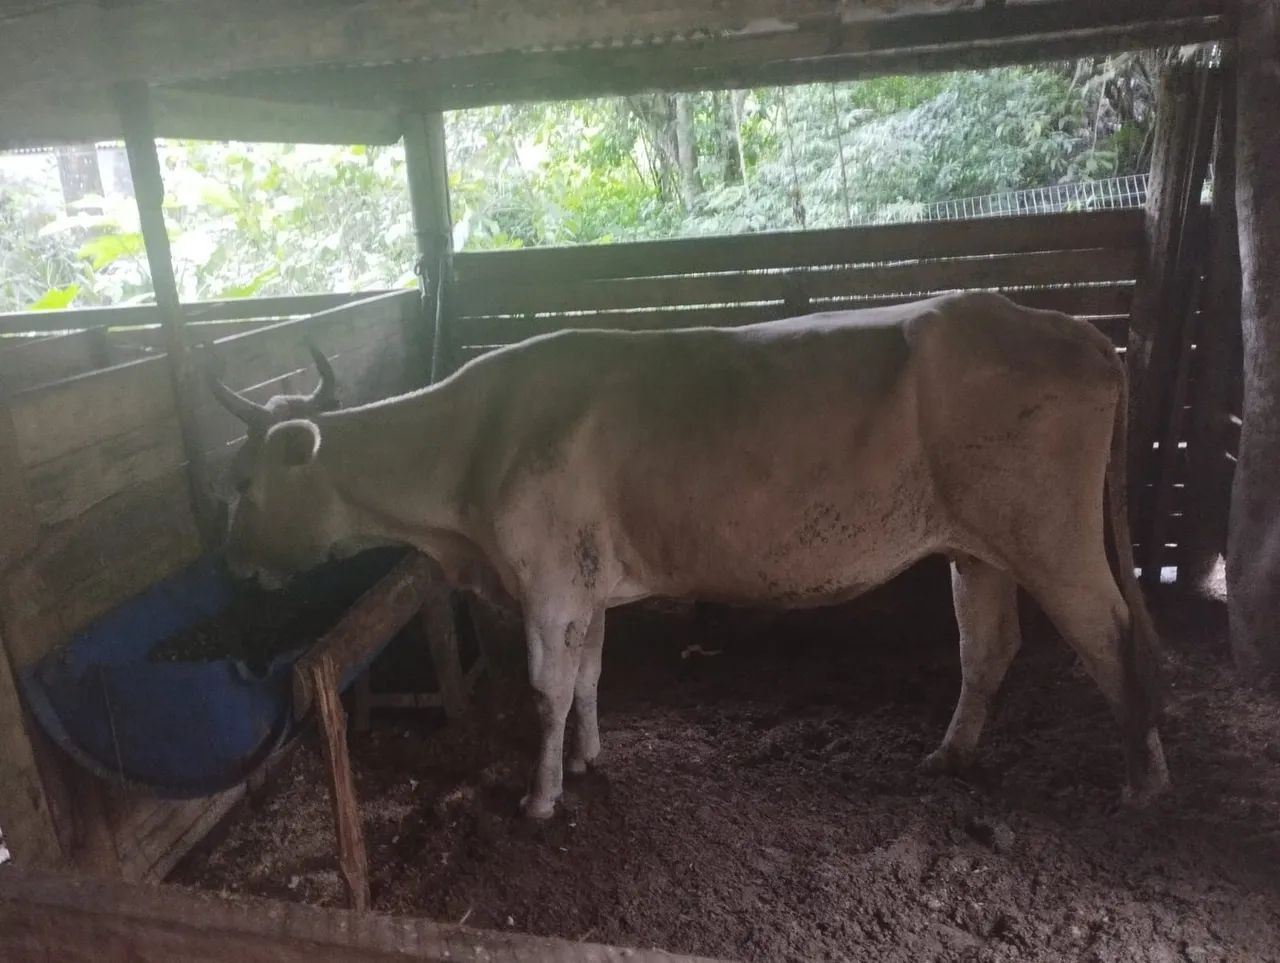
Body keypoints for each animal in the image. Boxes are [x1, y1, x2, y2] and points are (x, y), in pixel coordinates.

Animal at [208, 290, 1169, 819]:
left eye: (242, 481)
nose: (235, 564)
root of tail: (1076, 330)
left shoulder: (547, 581)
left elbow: (546, 690)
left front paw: (540, 798)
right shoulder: (586, 583)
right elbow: (588, 677)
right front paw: (589, 760)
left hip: (1052, 535)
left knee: (1114, 633)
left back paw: (1142, 782)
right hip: (980, 547)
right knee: (989, 646)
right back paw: (951, 754)